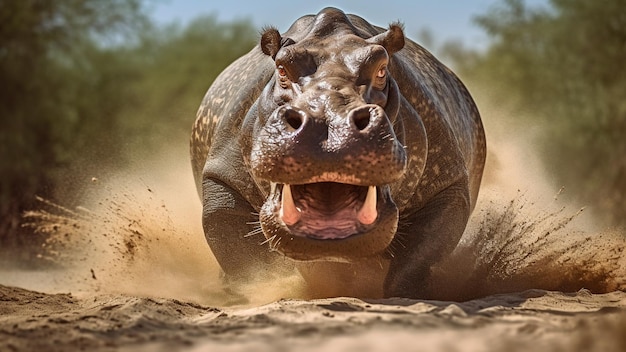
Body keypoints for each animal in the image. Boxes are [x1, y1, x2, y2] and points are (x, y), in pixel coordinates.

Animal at [188, 7, 486, 300]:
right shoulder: (223, 178)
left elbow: (419, 258)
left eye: (382, 69)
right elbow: (244, 260)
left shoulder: (448, 185)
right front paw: (259, 291)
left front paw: (415, 296)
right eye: (281, 69)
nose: (329, 121)